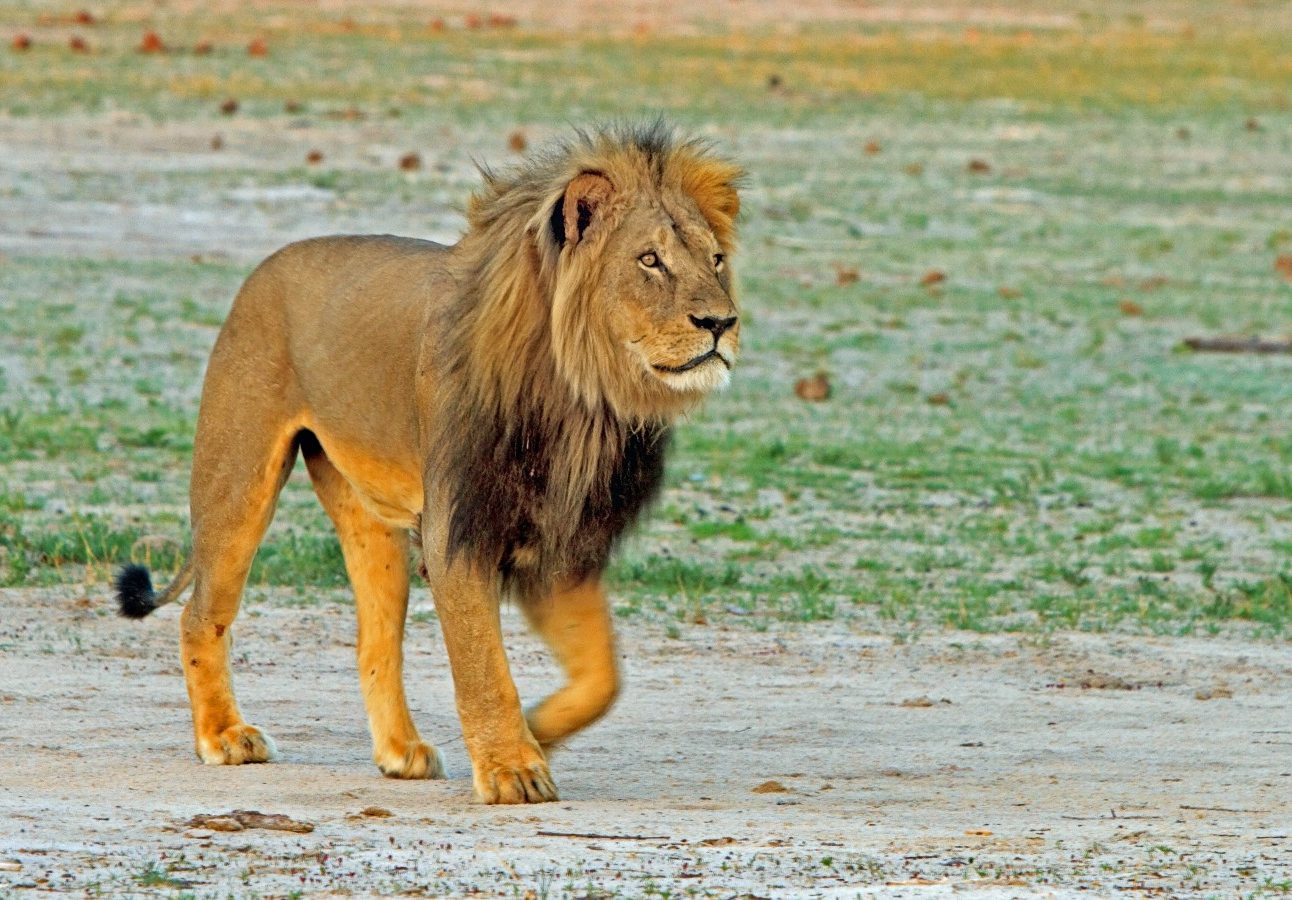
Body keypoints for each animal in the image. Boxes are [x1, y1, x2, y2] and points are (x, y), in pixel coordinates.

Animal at [114, 121, 742, 804]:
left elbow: (603, 678)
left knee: (374, 641)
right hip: (238, 480)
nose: (721, 322)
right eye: (649, 260)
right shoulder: (458, 529)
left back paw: (400, 752)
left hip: (370, 521)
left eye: (715, 260)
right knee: (201, 615)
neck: (585, 399)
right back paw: (225, 736)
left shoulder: (561, 545)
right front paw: (511, 769)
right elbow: (483, 664)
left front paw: (537, 733)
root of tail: (263, 269)